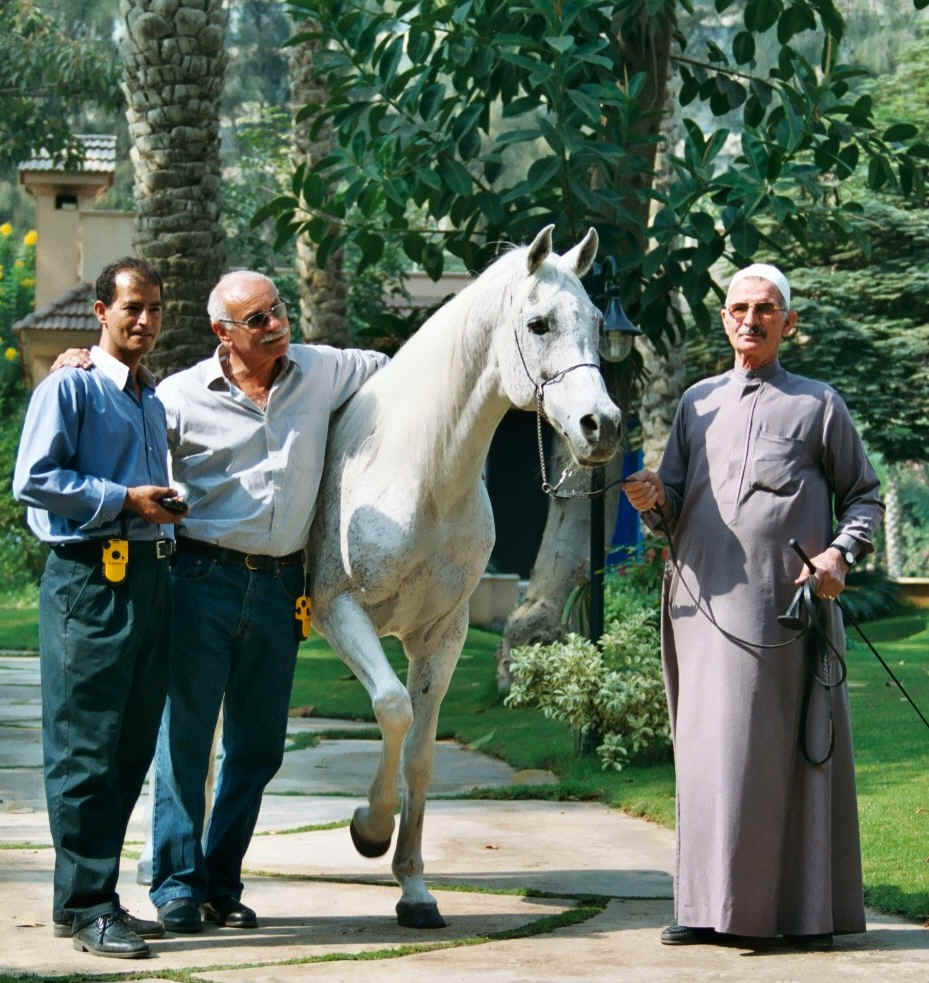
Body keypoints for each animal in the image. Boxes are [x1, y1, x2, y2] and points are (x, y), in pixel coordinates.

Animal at [306, 224, 622, 929]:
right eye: (538, 323)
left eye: (596, 322)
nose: (602, 426)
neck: (412, 471)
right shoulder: (341, 613)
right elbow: (392, 707)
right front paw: (368, 829)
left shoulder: (442, 634)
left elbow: (420, 753)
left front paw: (415, 890)